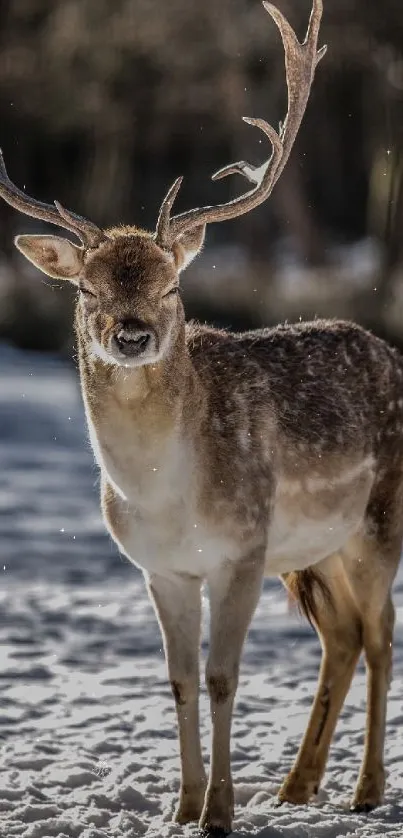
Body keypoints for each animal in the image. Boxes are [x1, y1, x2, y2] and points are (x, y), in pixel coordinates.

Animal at [1, 0, 402, 836]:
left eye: (172, 286)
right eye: (85, 288)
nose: (131, 334)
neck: (165, 495)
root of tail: (390, 351)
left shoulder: (241, 550)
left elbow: (223, 677)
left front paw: (219, 811)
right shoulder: (159, 568)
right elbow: (180, 681)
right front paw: (183, 808)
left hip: (378, 520)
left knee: (382, 635)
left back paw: (364, 789)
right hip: (311, 550)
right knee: (344, 635)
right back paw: (295, 787)